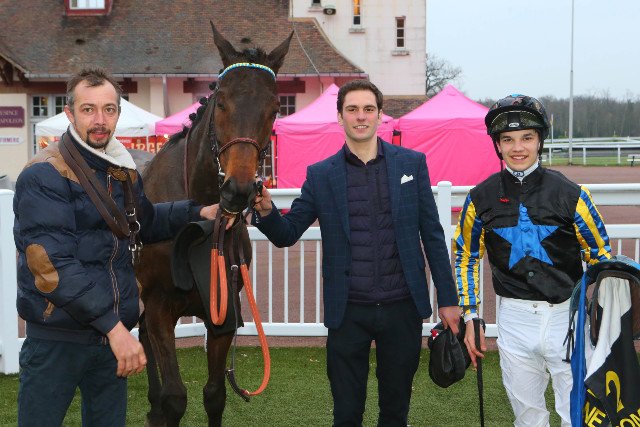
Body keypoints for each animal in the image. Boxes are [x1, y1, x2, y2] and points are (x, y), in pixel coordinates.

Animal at [135, 23, 292, 426]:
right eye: (221, 102)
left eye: (274, 109)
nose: (237, 190)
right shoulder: (159, 307)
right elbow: (176, 397)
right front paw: (163, 404)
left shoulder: (222, 314)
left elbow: (215, 394)